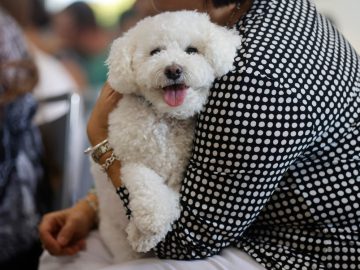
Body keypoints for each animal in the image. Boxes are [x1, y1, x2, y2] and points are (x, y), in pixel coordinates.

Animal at [91, 11, 240, 264]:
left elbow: (171, 202)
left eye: (192, 50)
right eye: (155, 52)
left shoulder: (179, 178)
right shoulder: (130, 161)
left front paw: (141, 233)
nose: (173, 70)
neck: (167, 120)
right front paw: (148, 225)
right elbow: (148, 188)